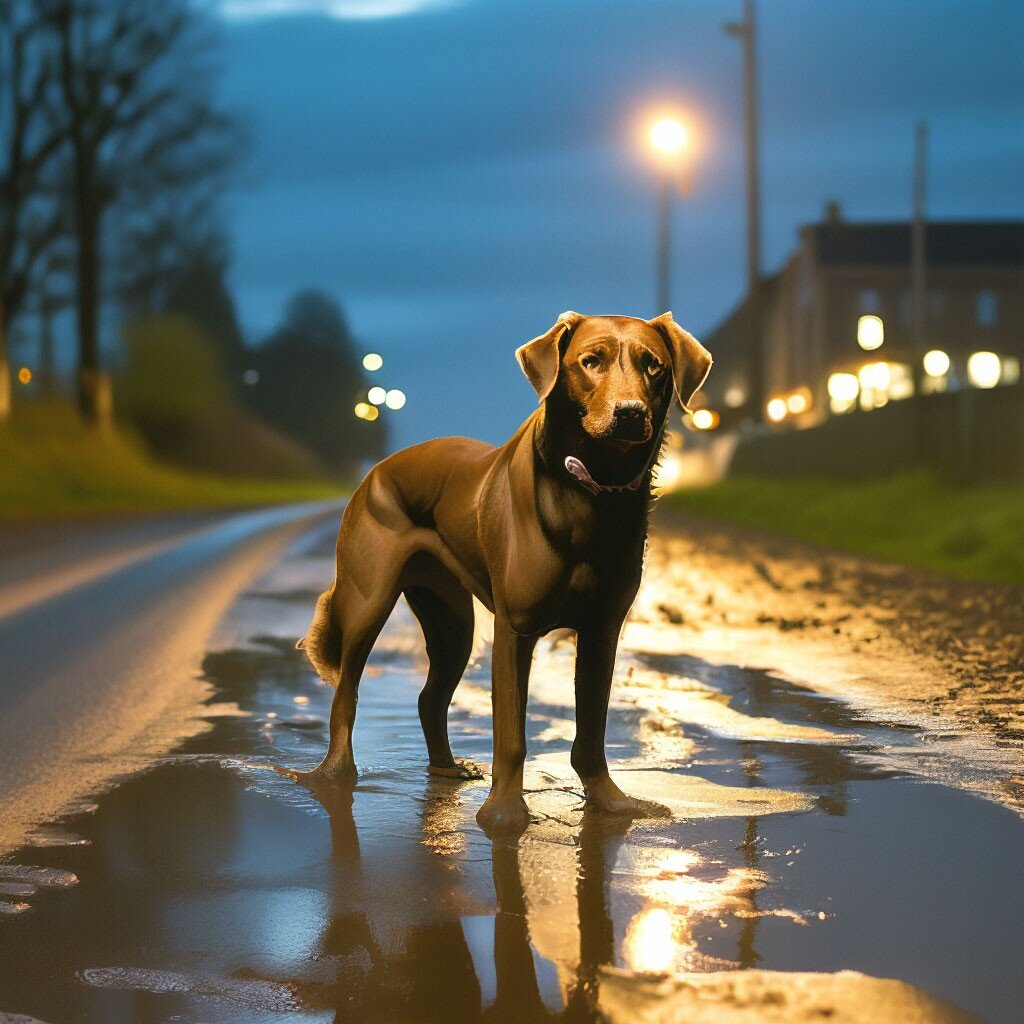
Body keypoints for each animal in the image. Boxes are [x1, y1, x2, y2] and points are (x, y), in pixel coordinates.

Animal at [296, 309, 712, 831]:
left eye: (653, 365)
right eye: (590, 361)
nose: (630, 412)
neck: (593, 490)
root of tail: (379, 469)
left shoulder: (602, 628)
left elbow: (592, 732)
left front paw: (611, 802)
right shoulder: (515, 628)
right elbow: (511, 733)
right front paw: (505, 814)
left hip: (452, 622)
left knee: (430, 698)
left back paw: (447, 769)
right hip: (366, 602)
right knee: (345, 692)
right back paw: (334, 773)